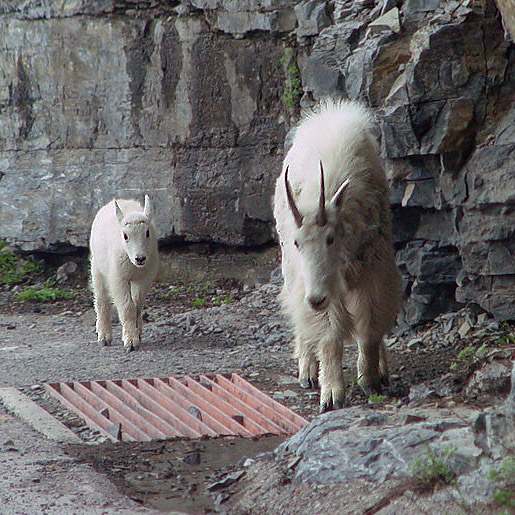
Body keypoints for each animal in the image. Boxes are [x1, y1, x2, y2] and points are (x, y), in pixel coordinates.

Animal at [274, 102, 404, 416]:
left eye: (330, 238)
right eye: (298, 242)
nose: (316, 299)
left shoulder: (374, 270)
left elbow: (370, 328)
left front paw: (370, 379)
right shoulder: (320, 286)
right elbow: (329, 337)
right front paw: (331, 395)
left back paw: (382, 369)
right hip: (292, 271)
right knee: (300, 315)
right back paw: (307, 370)